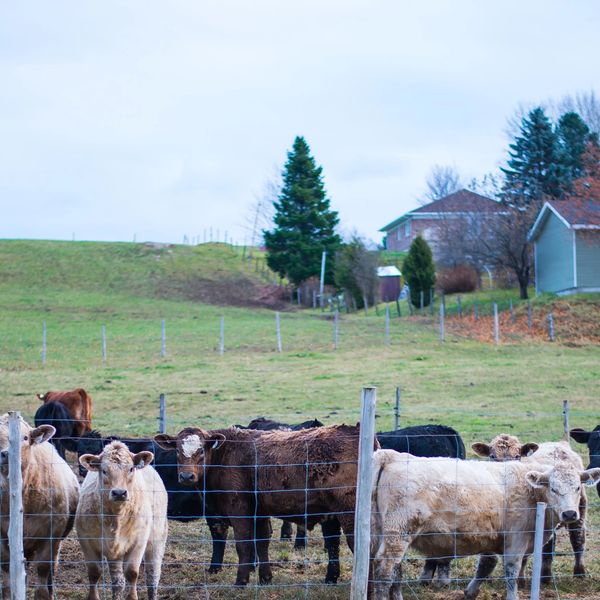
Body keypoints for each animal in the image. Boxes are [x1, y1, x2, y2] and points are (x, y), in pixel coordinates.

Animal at [77, 440, 169, 600]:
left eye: (131, 468)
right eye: (104, 470)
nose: (119, 493)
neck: (116, 518)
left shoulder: (139, 541)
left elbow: (132, 573)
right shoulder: (86, 541)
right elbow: (94, 573)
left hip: (157, 539)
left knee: (153, 576)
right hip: (116, 553)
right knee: (118, 581)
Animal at [155, 422, 376, 584]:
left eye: (201, 451)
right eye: (177, 451)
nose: (186, 476)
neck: (224, 455)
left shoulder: (239, 510)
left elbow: (244, 544)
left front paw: (241, 581)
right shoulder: (259, 511)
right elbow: (261, 543)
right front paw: (265, 578)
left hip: (350, 515)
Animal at [370, 450, 600, 600]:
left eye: (577, 487)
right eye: (553, 488)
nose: (570, 513)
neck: (530, 492)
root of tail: (393, 456)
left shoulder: (492, 536)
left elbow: (486, 565)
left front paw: (470, 592)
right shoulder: (516, 539)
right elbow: (511, 571)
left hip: (384, 532)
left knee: (394, 570)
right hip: (399, 532)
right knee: (385, 570)